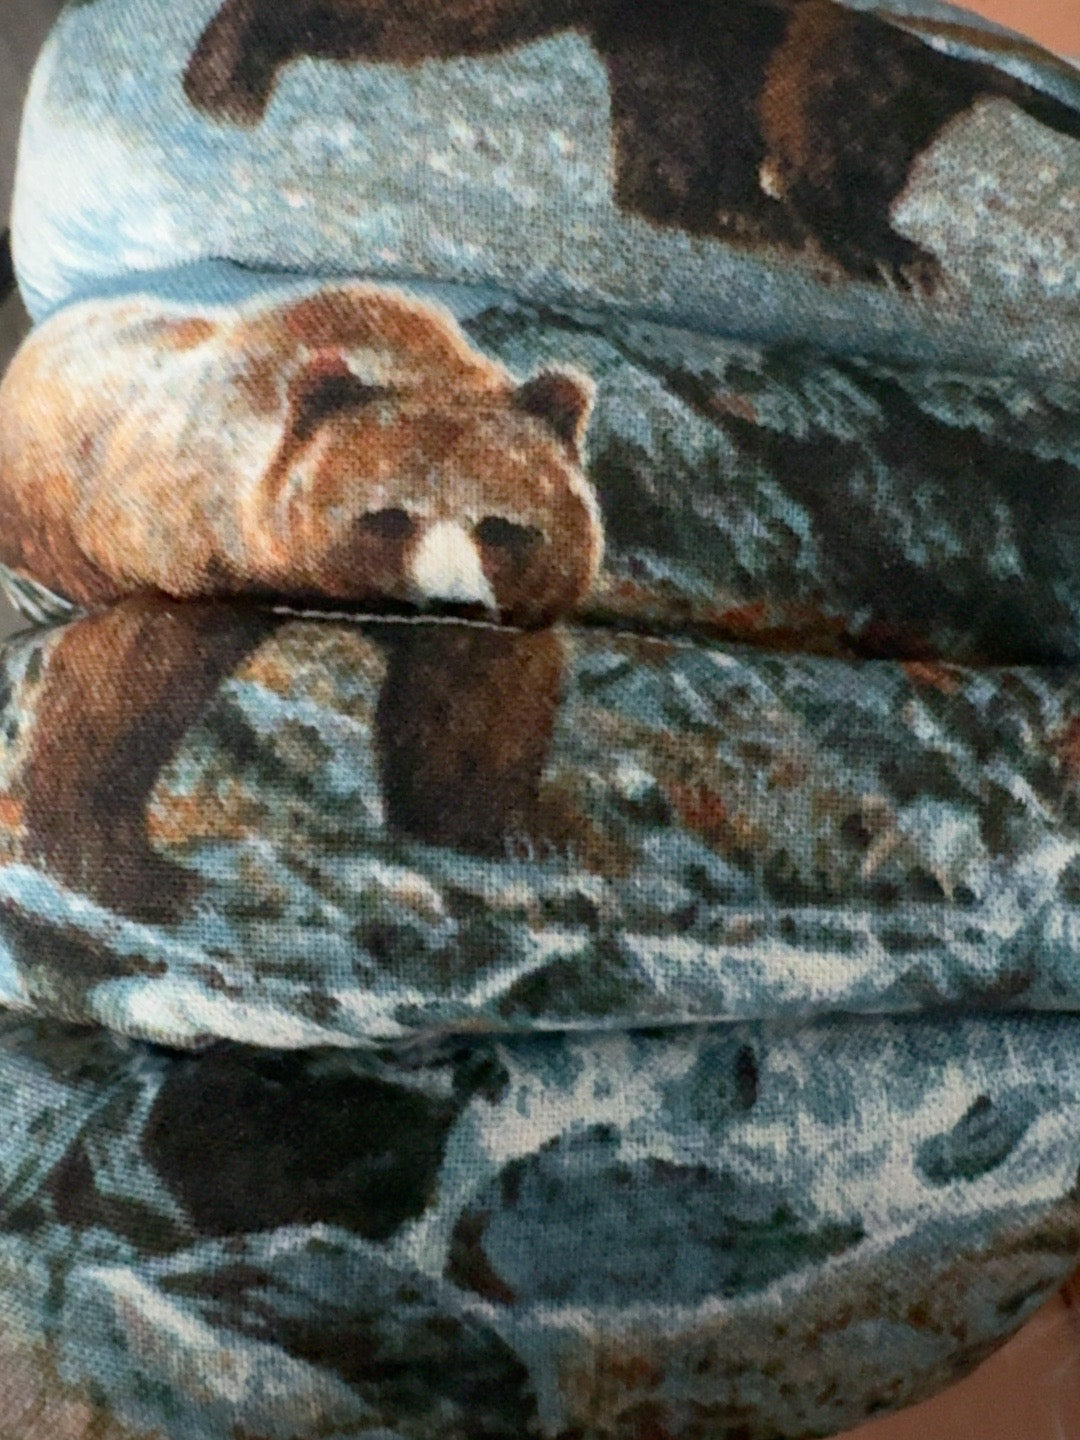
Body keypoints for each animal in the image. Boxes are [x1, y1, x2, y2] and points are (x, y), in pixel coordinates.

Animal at [0, 283, 602, 921]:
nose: (449, 602)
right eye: (390, 516)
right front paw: (132, 870)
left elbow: (475, 705)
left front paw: (499, 830)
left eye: (500, 526)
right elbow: (121, 692)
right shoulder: (187, 549)